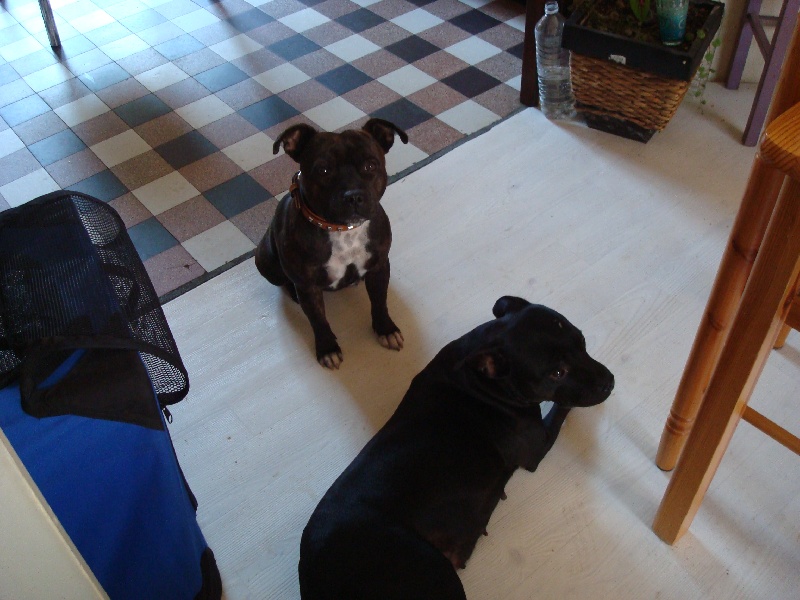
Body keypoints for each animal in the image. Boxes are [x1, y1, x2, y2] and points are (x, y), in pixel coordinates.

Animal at [255, 119, 408, 369]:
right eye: (323, 170)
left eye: (370, 166)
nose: (353, 195)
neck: (343, 230)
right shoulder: (308, 287)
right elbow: (318, 320)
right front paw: (327, 348)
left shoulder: (379, 267)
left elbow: (379, 301)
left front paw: (386, 329)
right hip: (265, 260)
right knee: (284, 281)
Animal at [298, 296, 615, 599]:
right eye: (558, 373)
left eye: (582, 340)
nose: (610, 382)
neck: (482, 377)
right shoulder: (538, 443)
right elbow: (563, 408)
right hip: (433, 572)